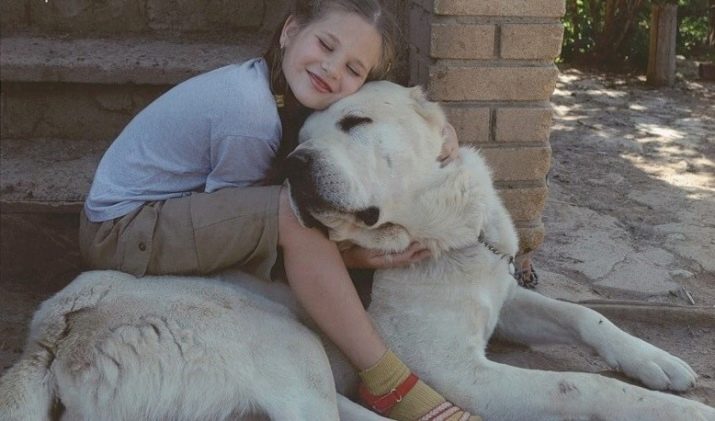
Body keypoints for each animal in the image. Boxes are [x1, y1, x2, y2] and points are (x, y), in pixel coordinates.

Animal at [1, 80, 715, 418]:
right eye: (298, 139)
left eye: (354, 122)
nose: (291, 168)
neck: (440, 236)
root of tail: (53, 329)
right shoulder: (463, 373)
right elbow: (581, 386)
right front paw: (678, 410)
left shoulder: (503, 293)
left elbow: (587, 316)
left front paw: (659, 364)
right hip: (280, 335)